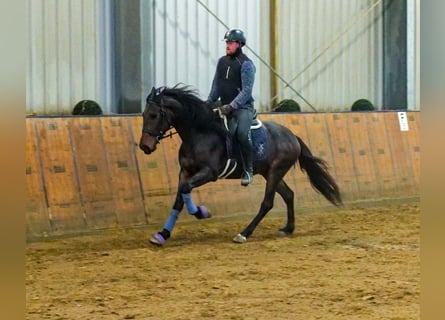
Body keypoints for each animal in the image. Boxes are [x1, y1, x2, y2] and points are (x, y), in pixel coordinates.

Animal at [140, 85, 342, 245]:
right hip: (269, 173)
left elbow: (185, 190)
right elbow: (180, 197)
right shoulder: (185, 171)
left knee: (267, 203)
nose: (145, 146)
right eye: (144, 115)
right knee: (289, 195)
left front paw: (201, 213)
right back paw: (288, 228)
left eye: (154, 115)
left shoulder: (209, 173)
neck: (199, 134)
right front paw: (162, 234)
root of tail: (293, 137)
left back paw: (244, 234)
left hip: (276, 171)